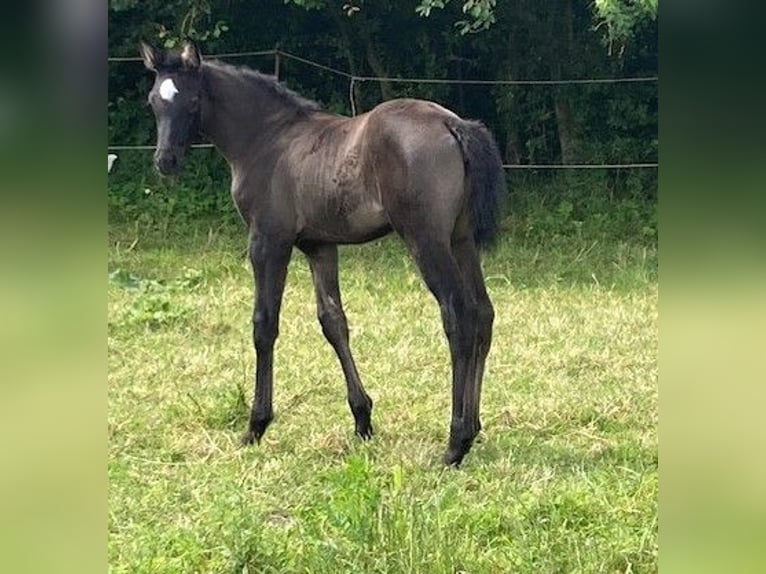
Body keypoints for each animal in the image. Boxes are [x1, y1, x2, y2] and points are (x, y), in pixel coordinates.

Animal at [140, 41, 505, 466]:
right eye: (154, 101)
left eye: (194, 100)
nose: (165, 161)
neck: (267, 140)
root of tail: (453, 125)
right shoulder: (320, 247)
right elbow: (333, 322)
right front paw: (362, 420)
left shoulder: (268, 241)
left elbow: (264, 325)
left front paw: (255, 426)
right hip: (461, 241)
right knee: (482, 313)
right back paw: (474, 429)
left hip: (426, 240)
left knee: (457, 316)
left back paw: (454, 444)